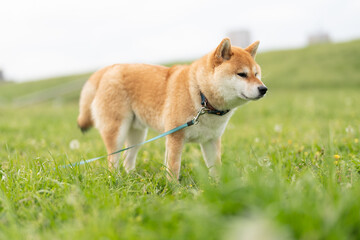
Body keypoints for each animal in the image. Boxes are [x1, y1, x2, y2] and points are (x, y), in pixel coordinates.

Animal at [78, 38, 268, 179]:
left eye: (256, 74)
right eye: (242, 74)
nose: (263, 89)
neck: (200, 95)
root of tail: (108, 69)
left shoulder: (211, 140)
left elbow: (216, 168)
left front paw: (220, 187)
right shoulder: (175, 136)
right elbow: (174, 169)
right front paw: (174, 191)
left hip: (137, 136)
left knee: (127, 159)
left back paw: (132, 178)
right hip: (117, 132)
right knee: (113, 160)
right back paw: (116, 179)